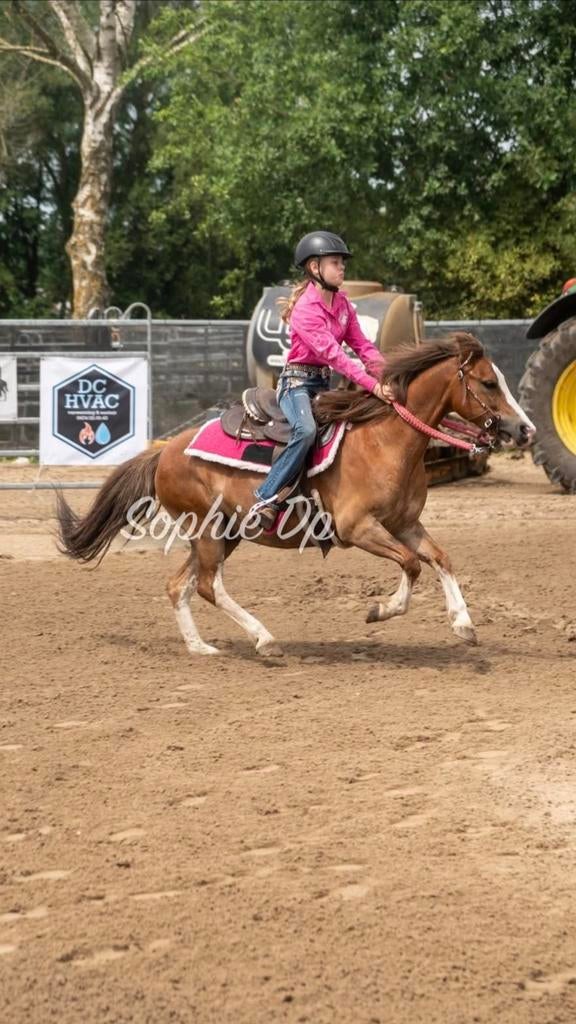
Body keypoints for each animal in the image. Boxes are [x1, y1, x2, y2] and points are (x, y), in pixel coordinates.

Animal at [56, 332, 534, 657]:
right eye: (489, 383)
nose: (525, 429)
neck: (385, 441)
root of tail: (164, 452)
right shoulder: (358, 528)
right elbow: (412, 564)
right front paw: (380, 610)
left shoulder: (405, 524)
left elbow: (440, 559)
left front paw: (464, 623)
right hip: (208, 532)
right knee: (209, 586)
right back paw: (263, 638)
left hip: (222, 534)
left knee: (180, 586)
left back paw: (201, 647)